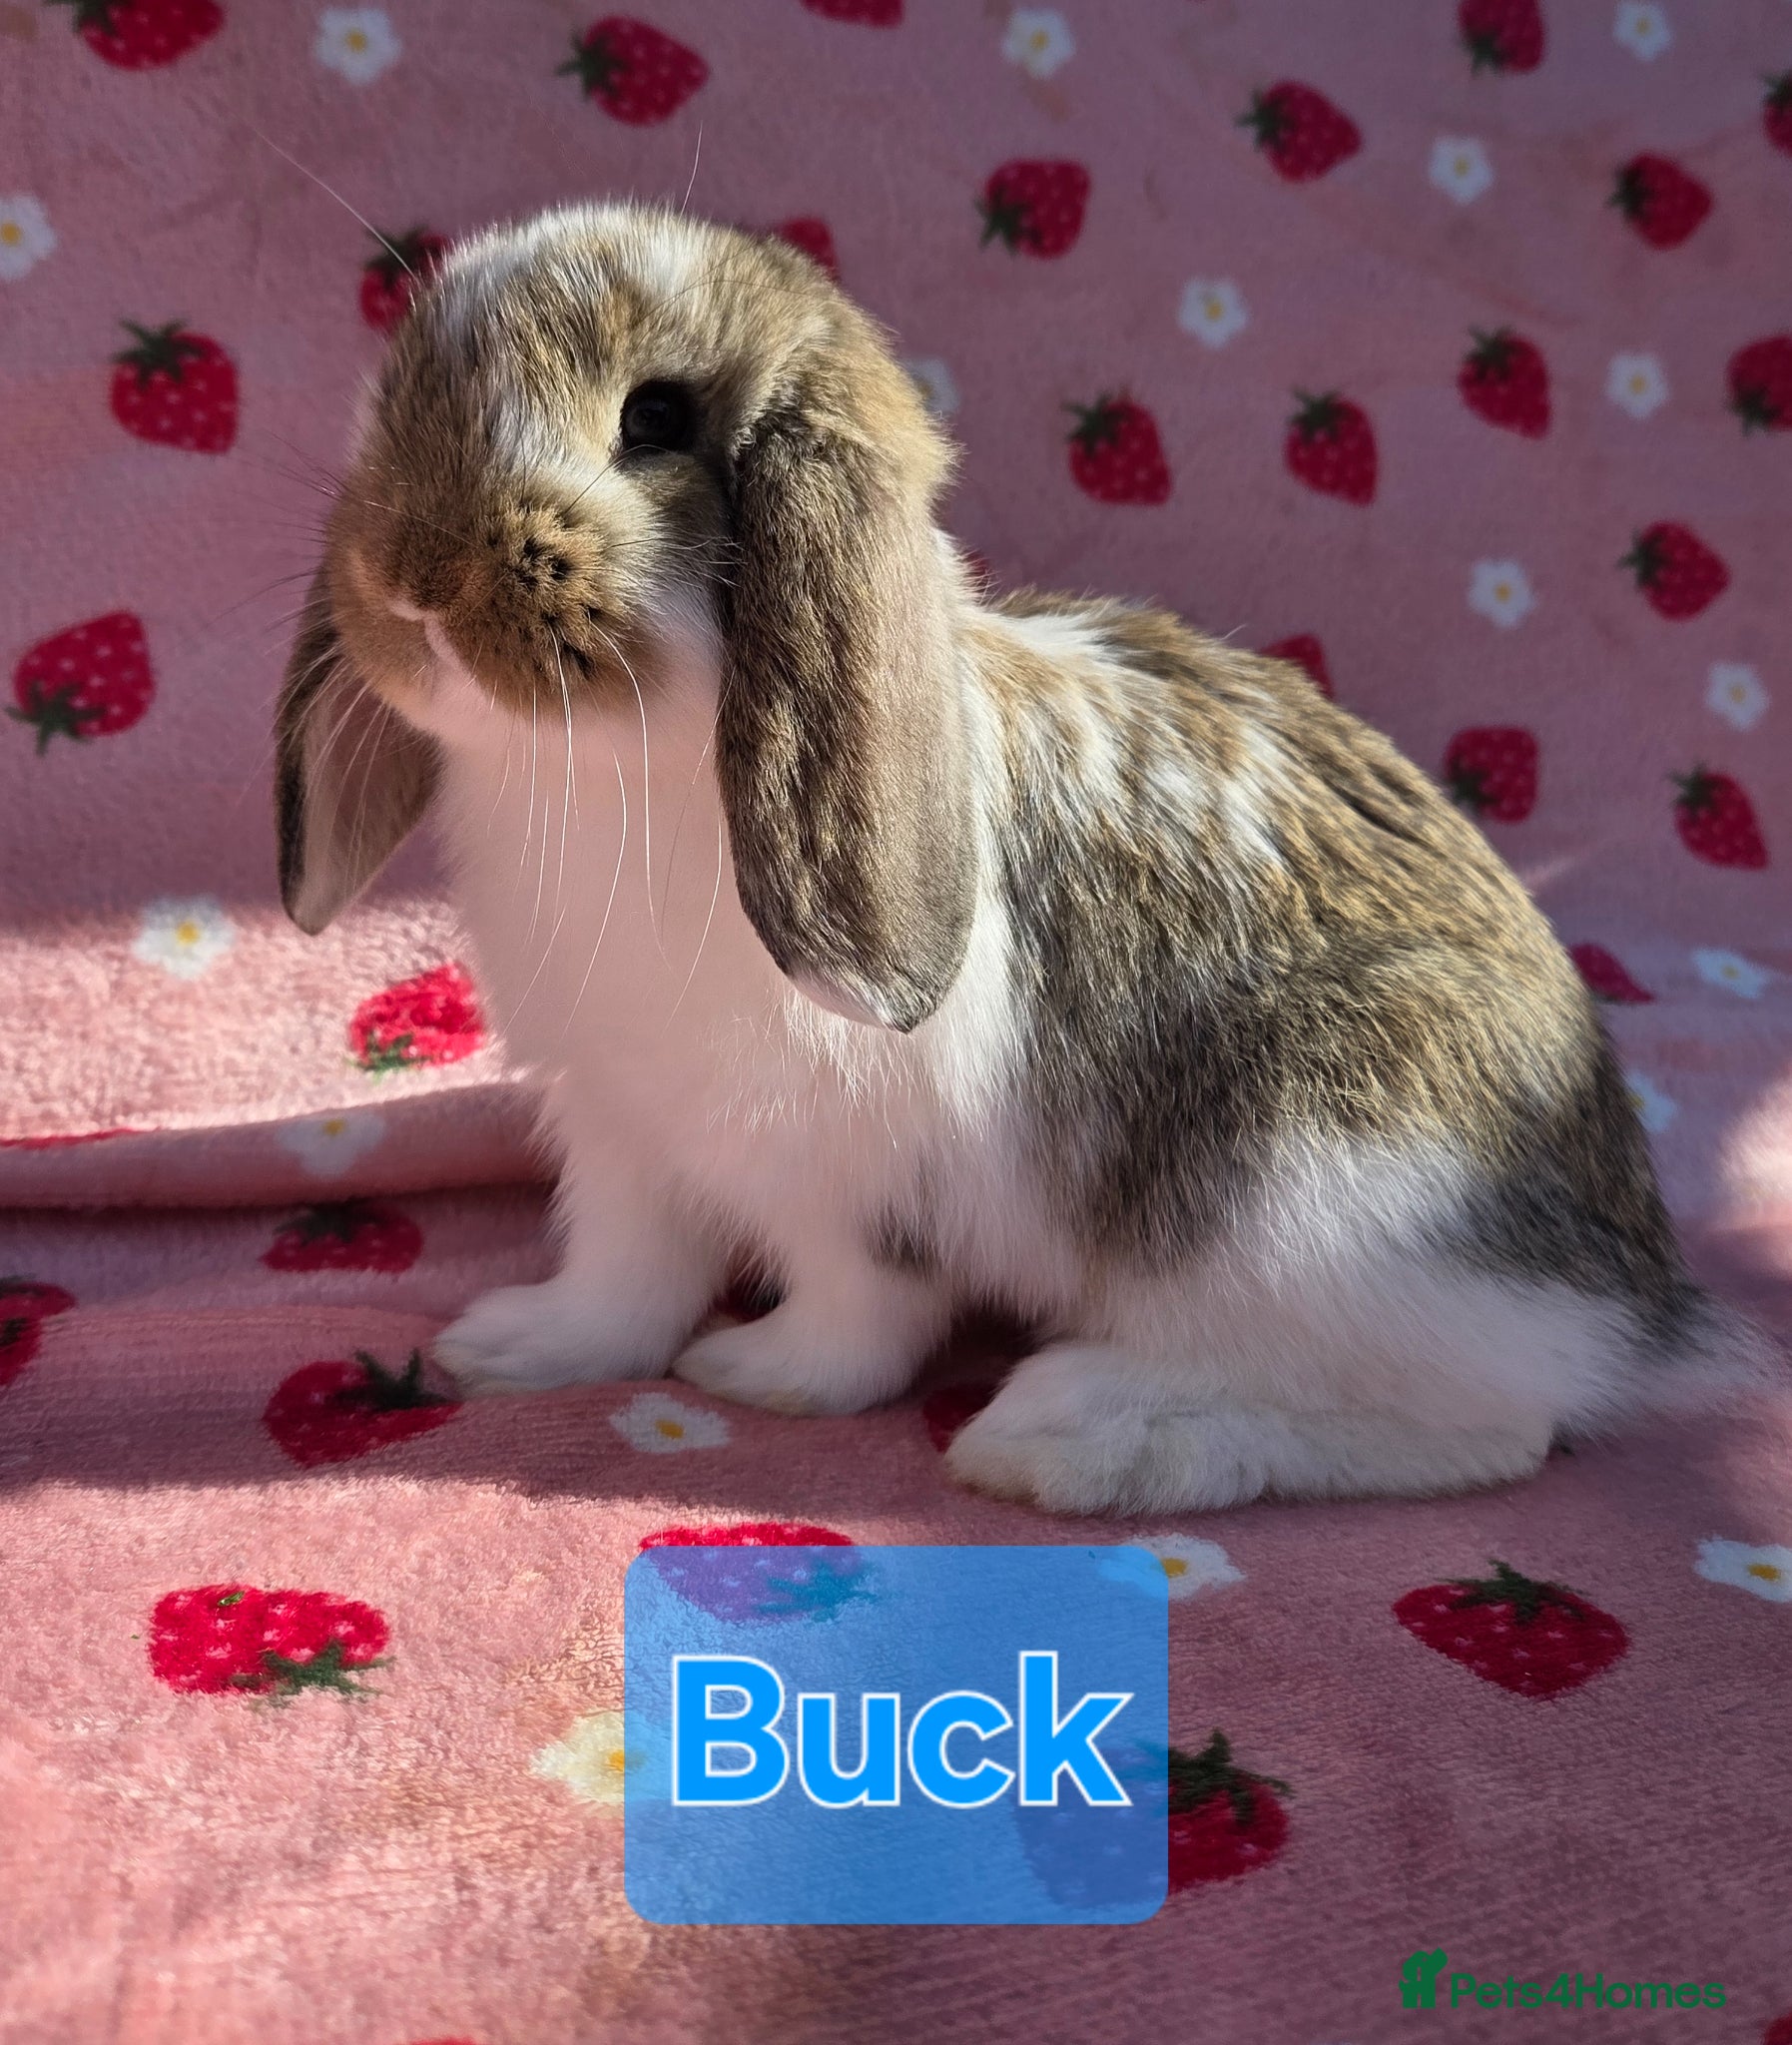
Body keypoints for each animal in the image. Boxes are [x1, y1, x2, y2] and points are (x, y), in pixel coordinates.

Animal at [275, 200, 1770, 1516]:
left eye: (656, 420)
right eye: (400, 395)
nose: (407, 578)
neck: (613, 776)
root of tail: (1634, 1302)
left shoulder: (851, 1171)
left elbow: (855, 1312)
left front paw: (759, 1377)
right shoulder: (623, 1130)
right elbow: (625, 1276)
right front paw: (511, 1349)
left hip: (1307, 1183)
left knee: (1480, 1429)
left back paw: (1079, 1437)